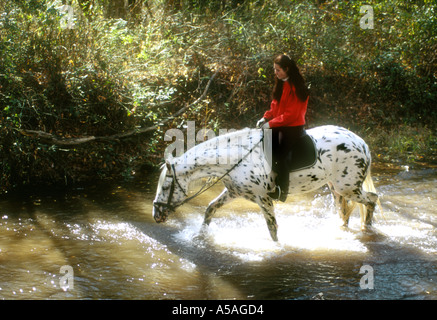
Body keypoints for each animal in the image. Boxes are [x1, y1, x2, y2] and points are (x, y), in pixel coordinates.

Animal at [152, 125, 378, 240]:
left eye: (166, 186)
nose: (156, 215)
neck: (238, 157)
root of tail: (361, 143)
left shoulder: (264, 199)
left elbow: (272, 228)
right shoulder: (234, 192)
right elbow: (210, 209)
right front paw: (200, 237)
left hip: (348, 188)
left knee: (372, 199)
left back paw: (367, 229)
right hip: (335, 188)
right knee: (344, 211)